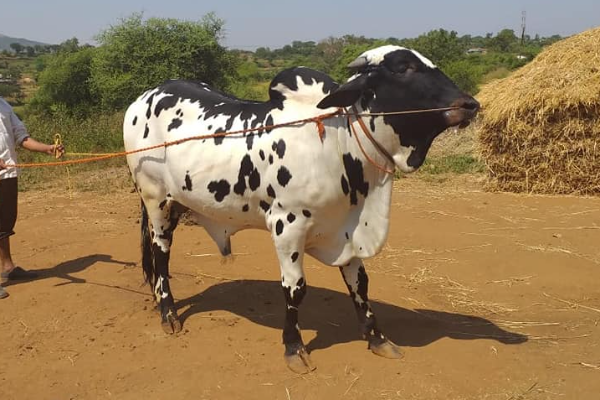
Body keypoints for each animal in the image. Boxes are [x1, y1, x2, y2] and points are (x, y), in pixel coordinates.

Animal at [123, 45, 478, 374]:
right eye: (404, 68)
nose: (470, 104)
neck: (337, 139)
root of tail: (142, 98)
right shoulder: (287, 227)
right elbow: (295, 289)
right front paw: (294, 347)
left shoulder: (346, 231)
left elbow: (359, 282)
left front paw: (376, 337)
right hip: (156, 200)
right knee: (161, 254)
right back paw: (168, 312)